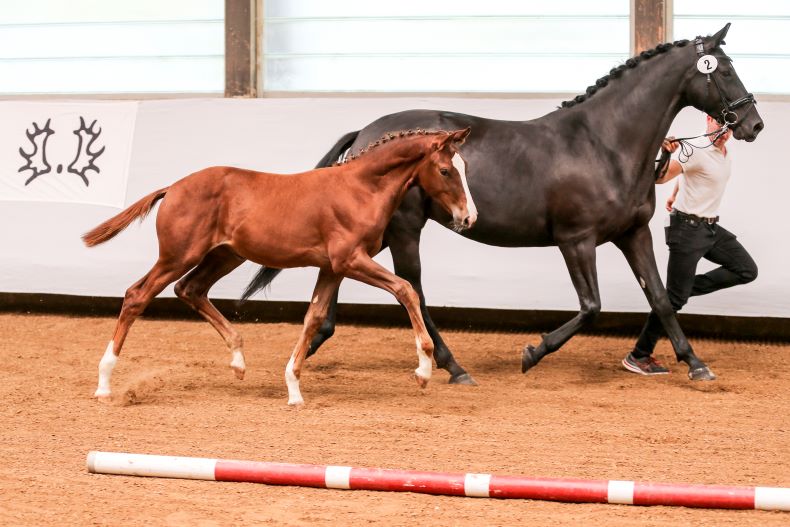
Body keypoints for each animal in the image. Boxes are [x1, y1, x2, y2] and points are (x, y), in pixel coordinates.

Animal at [82, 127, 476, 404]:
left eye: (465, 167)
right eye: (445, 170)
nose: (468, 217)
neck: (361, 189)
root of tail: (174, 187)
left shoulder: (332, 268)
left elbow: (314, 316)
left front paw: (294, 389)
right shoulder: (351, 259)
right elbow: (406, 290)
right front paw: (423, 369)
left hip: (225, 255)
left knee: (190, 289)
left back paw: (238, 360)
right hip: (178, 256)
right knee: (138, 295)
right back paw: (104, 383)